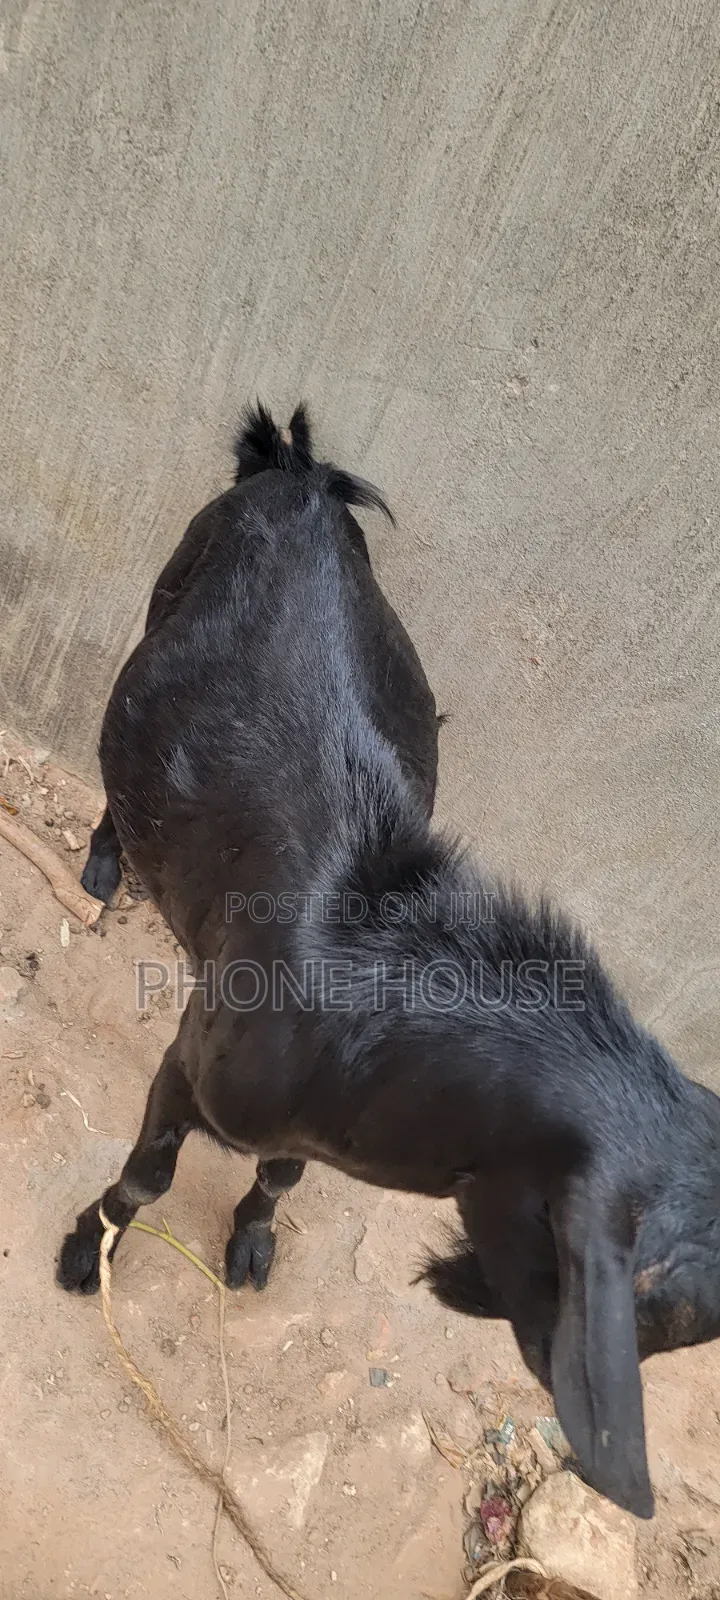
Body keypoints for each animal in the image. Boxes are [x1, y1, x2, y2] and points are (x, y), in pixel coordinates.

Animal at [58, 403, 720, 1521]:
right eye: (657, 1310)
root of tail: (296, 472)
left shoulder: (318, 1124)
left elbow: (282, 1173)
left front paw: (252, 1241)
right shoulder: (191, 1056)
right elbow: (147, 1178)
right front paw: (81, 1249)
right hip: (163, 592)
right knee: (117, 752)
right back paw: (107, 861)